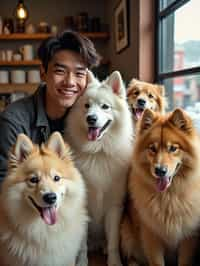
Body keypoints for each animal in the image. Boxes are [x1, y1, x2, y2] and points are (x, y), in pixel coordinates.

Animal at [65, 70, 134, 266]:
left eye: (105, 107)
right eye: (87, 106)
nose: (91, 118)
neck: (98, 152)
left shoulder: (114, 206)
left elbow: (113, 242)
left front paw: (114, 261)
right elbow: (82, 245)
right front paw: (81, 262)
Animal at [121, 108, 200, 266]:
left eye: (173, 148)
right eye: (152, 148)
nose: (160, 170)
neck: (169, 196)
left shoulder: (188, 237)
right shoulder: (151, 236)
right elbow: (156, 261)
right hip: (126, 233)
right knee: (131, 257)